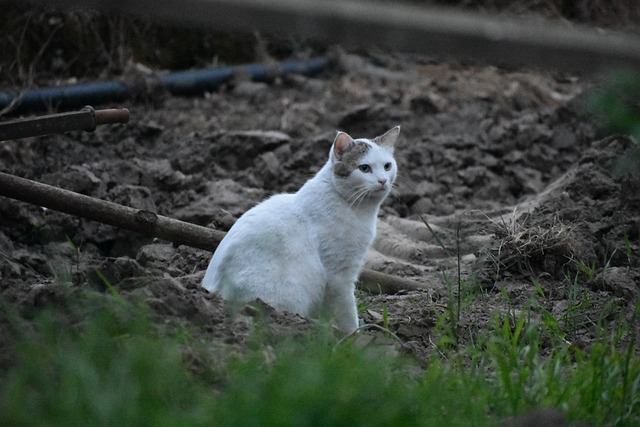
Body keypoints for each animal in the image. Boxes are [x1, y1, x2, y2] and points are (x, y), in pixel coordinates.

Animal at [202, 125, 400, 332]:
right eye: (364, 168)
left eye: (387, 166)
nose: (382, 180)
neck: (358, 209)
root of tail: (212, 291)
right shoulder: (338, 276)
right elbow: (346, 312)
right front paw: (354, 335)